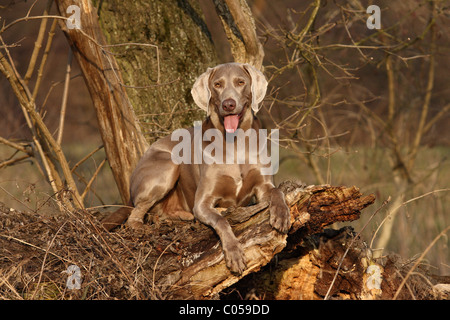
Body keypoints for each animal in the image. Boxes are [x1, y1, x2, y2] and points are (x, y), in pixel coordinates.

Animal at [102, 63, 290, 276]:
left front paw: (281, 215)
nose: (228, 104)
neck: (235, 142)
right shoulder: (202, 202)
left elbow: (277, 192)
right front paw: (234, 252)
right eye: (217, 84)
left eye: (241, 82)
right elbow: (221, 221)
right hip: (168, 165)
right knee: (134, 217)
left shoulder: (263, 185)